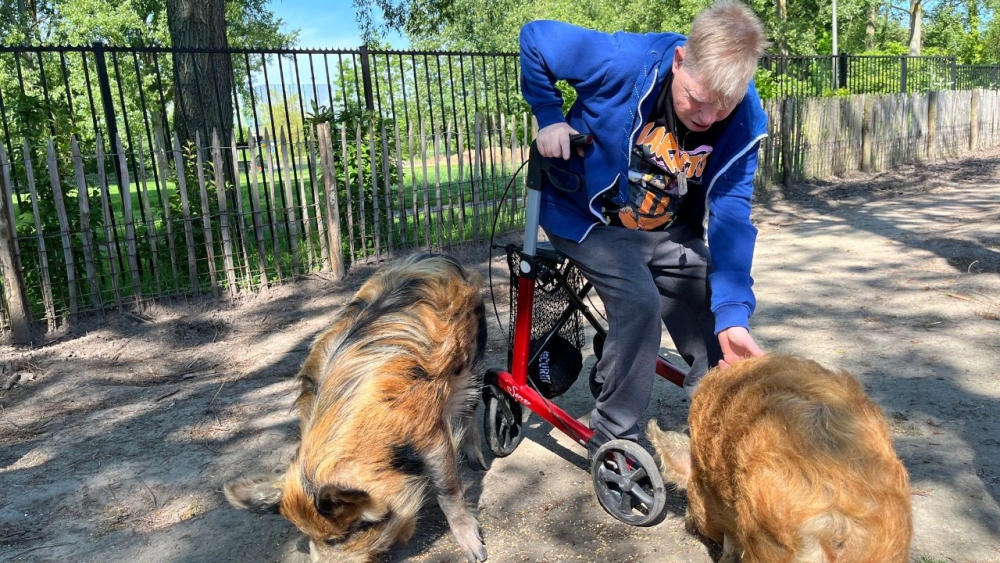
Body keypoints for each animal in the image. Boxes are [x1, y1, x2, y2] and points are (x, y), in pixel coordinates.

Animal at [228, 254, 492, 563]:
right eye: (312, 538)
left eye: (346, 534)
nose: (318, 559)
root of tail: (436, 257)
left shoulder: (428, 430)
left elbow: (447, 489)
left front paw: (477, 554)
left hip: (473, 357)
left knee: (470, 407)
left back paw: (478, 463)